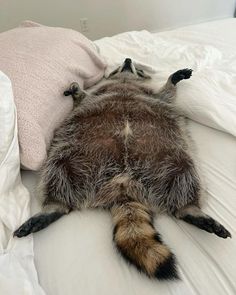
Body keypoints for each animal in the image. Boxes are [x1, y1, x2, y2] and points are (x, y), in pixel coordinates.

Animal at [13, 58, 231, 282]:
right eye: (118, 67)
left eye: (139, 69)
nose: (127, 59)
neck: (126, 81)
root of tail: (124, 187)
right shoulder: (96, 94)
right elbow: (82, 98)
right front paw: (76, 89)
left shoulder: (154, 94)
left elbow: (167, 93)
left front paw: (172, 79)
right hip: (72, 153)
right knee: (56, 170)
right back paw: (54, 205)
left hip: (173, 157)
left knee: (187, 173)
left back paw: (189, 207)